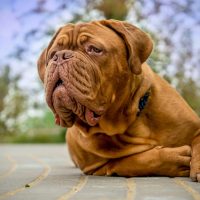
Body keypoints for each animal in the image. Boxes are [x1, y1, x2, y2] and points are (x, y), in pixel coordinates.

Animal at [37, 19, 200, 181]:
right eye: (52, 54)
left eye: (94, 49)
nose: (60, 56)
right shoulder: (97, 167)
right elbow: (135, 160)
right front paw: (175, 159)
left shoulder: (195, 127)